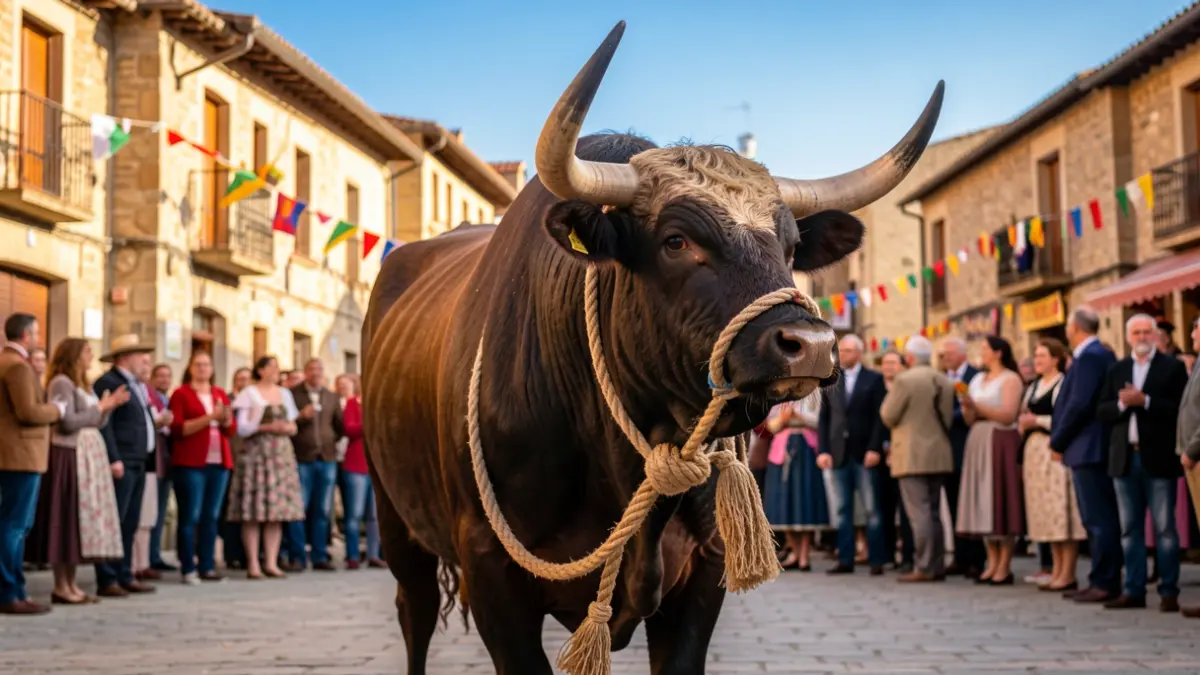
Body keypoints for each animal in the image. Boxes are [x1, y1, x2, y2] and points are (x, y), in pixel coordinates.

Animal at [363, 21, 943, 675]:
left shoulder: (705, 570)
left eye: (791, 246)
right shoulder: (491, 570)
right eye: (676, 240)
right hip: (394, 517)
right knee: (413, 613)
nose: (811, 344)